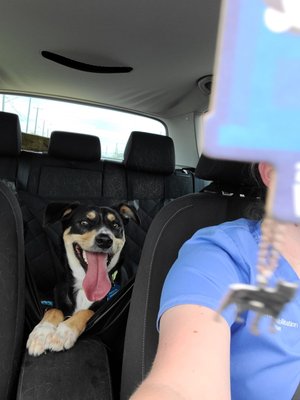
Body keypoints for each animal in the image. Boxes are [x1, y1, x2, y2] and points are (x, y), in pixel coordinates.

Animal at [27, 203, 139, 356]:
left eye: (116, 225)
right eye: (84, 223)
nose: (105, 240)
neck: (83, 285)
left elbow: (86, 312)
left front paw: (63, 333)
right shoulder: (58, 293)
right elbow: (53, 310)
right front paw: (41, 333)